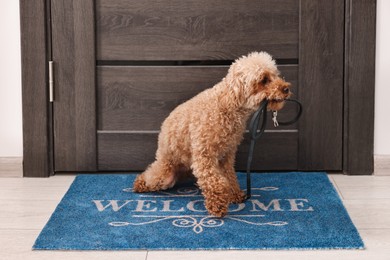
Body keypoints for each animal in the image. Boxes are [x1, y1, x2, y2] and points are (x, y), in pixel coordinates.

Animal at [133, 51, 290, 216]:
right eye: (264, 80)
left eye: (276, 75)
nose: (286, 88)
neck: (227, 105)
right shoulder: (204, 155)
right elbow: (214, 181)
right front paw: (217, 205)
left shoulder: (227, 154)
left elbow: (229, 176)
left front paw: (235, 194)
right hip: (165, 172)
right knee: (151, 174)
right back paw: (140, 184)